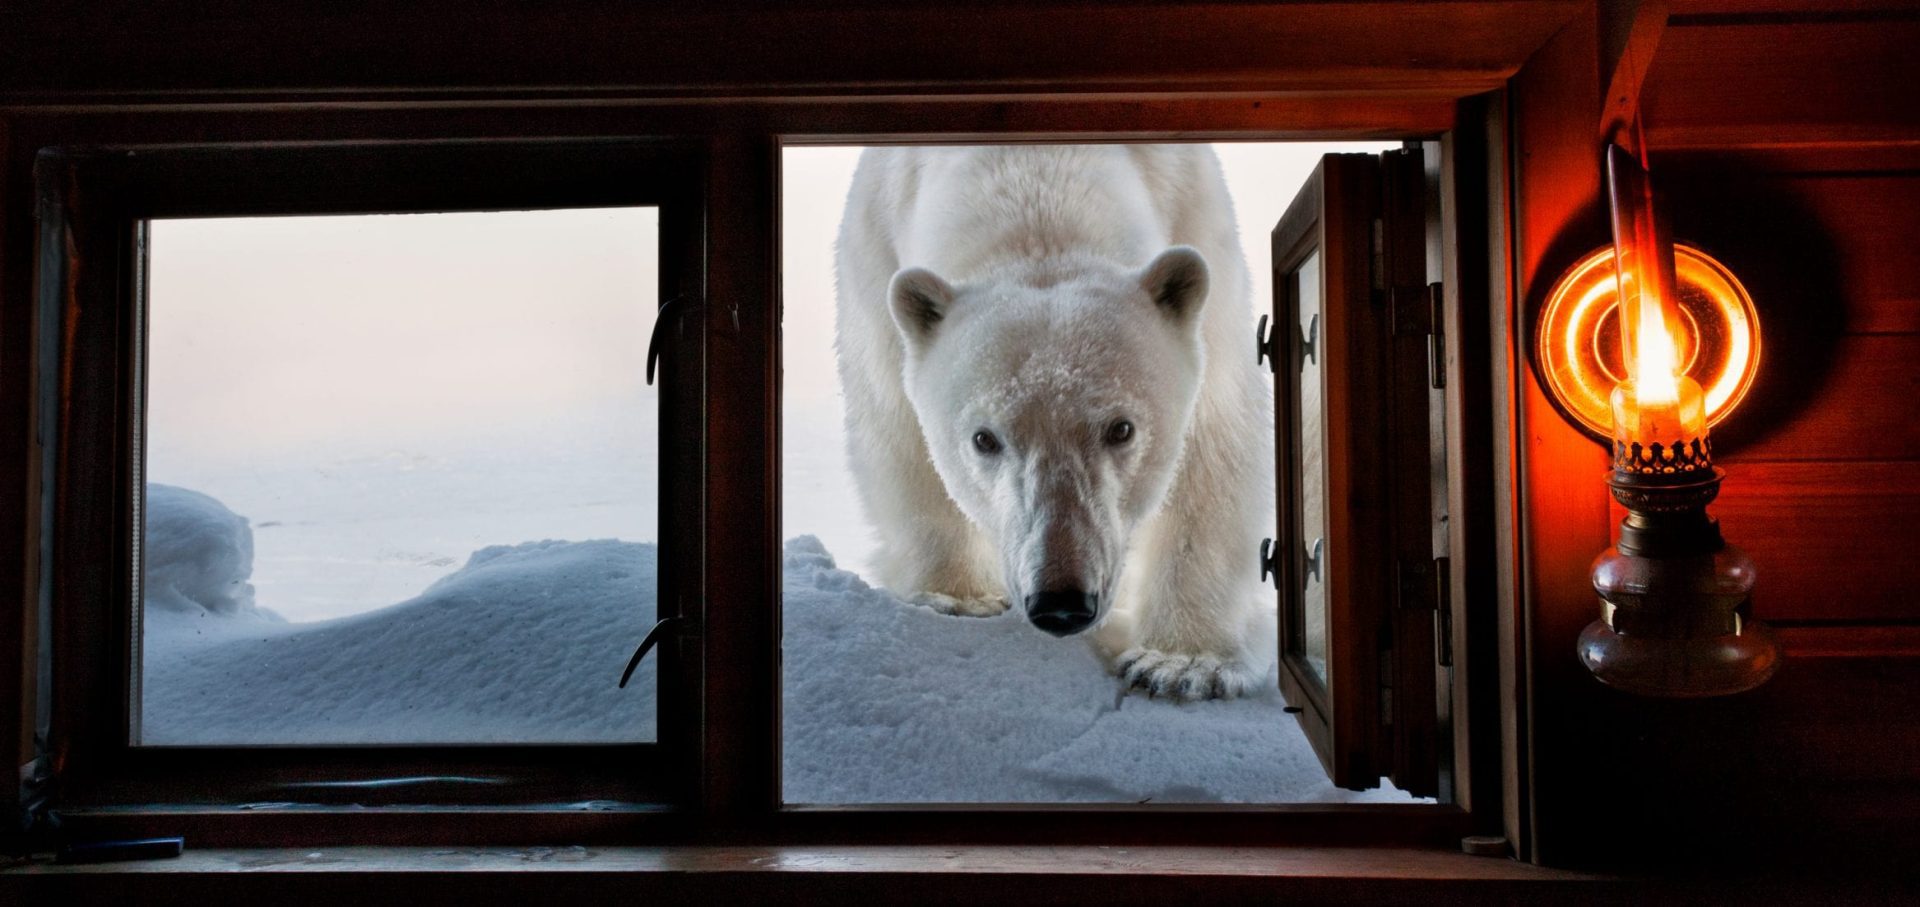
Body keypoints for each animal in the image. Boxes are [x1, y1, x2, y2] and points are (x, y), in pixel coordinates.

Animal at [834, 145, 1274, 701]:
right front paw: (958, 596)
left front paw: (1182, 664)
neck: (1033, 168)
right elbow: (899, 433)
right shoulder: (874, 258)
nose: (1061, 602)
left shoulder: (1199, 226)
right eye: (984, 439)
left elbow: (1213, 446)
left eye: (1121, 429)